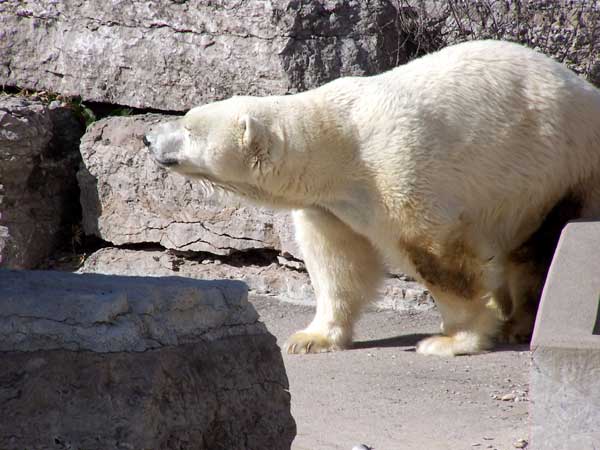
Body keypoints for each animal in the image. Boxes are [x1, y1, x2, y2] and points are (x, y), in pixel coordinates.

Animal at [143, 40, 600, 356]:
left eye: (189, 128)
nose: (147, 136)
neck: (340, 146)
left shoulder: (400, 170)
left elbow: (437, 256)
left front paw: (453, 339)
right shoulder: (330, 207)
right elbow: (338, 263)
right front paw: (310, 338)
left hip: (558, 173)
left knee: (537, 247)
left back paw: (519, 322)